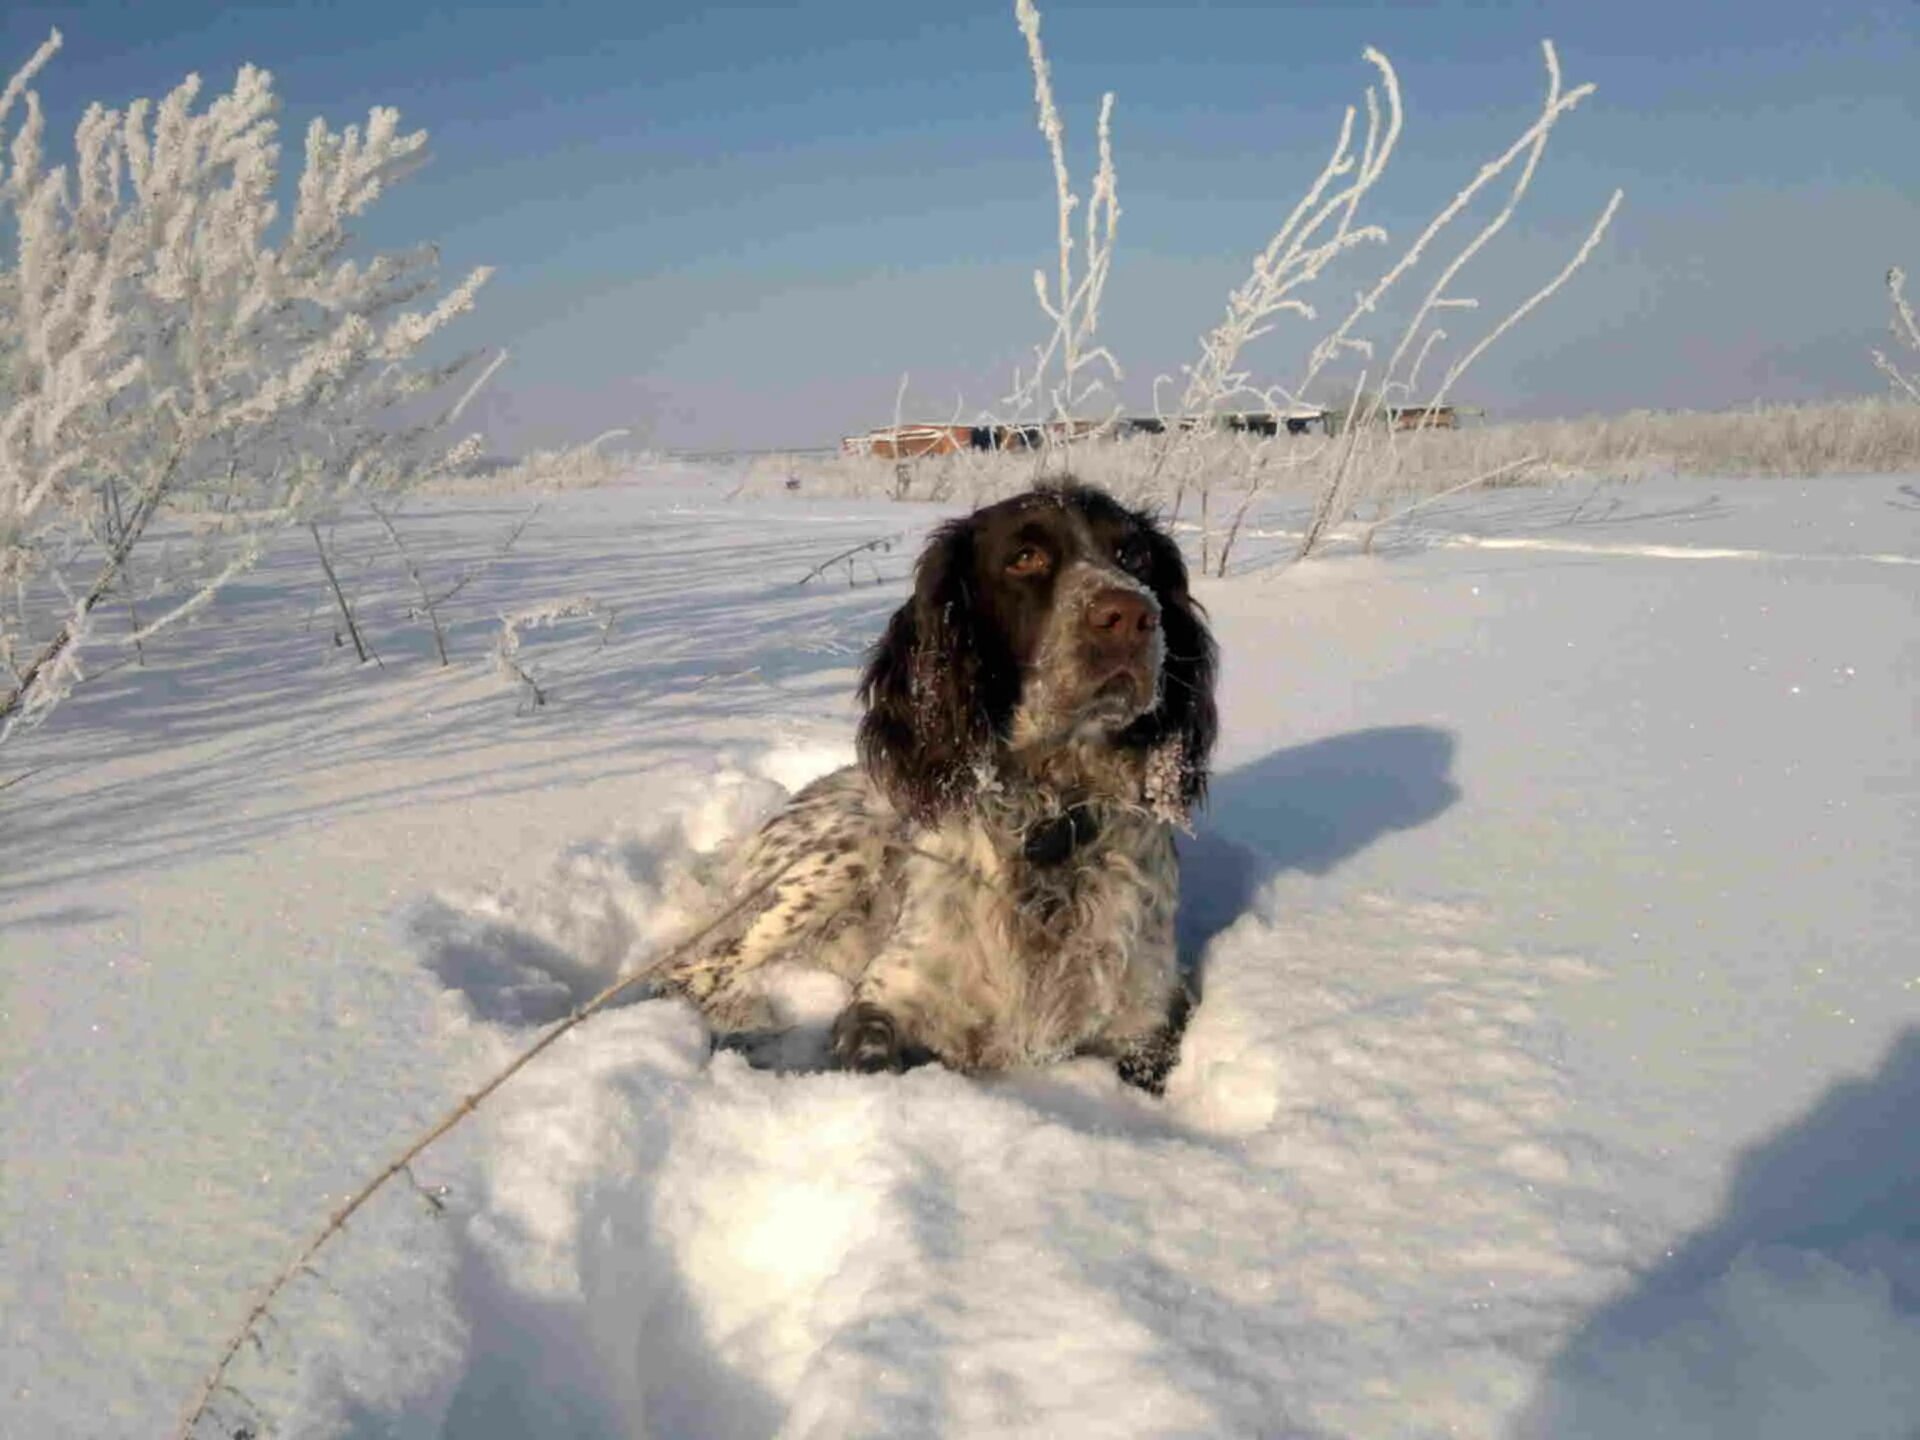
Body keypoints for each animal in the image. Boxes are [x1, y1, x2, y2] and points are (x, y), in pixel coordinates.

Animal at [648, 485, 1213, 1090]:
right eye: (1025, 557)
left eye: (1134, 556)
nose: (1132, 614)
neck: (1050, 819)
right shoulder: (883, 998)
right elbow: (873, 1057)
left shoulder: (1147, 1026)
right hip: (836, 862)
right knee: (689, 972)